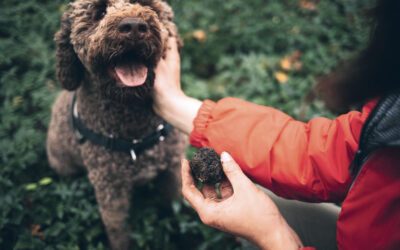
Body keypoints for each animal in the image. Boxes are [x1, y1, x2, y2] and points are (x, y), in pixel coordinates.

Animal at [46, 0, 186, 249]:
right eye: (100, 11)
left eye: (149, 6)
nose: (134, 27)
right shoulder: (110, 190)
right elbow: (117, 230)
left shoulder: (172, 168)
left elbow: (174, 205)